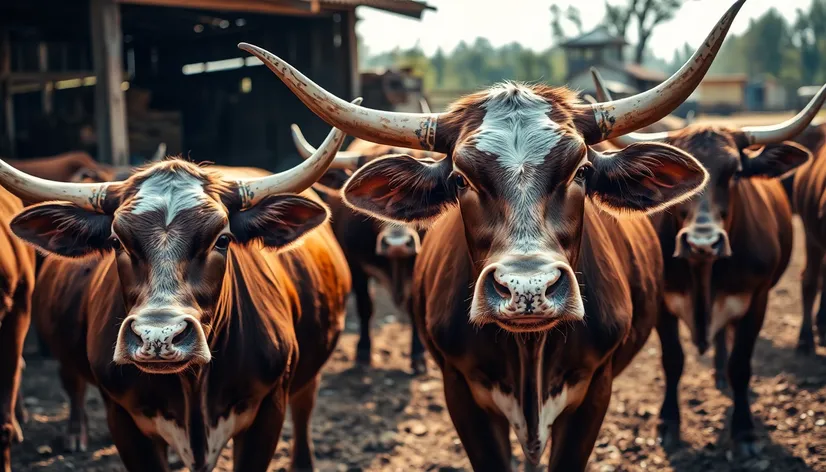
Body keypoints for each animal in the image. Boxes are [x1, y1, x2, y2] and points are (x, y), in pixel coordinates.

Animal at [0, 122, 350, 472]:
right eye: (116, 241)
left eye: (223, 240)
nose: (158, 337)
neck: (193, 386)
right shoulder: (123, 418)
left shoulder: (269, 409)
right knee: (71, 382)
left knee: (305, 403)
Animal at [292, 123, 444, 374]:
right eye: (371, 194)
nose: (397, 245)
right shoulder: (356, 265)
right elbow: (365, 305)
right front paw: (363, 351)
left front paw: (418, 356)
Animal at [588, 68, 820, 456]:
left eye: (736, 173)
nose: (702, 243)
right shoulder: (663, 305)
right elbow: (673, 360)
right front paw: (668, 423)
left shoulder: (757, 300)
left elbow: (741, 364)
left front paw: (744, 430)